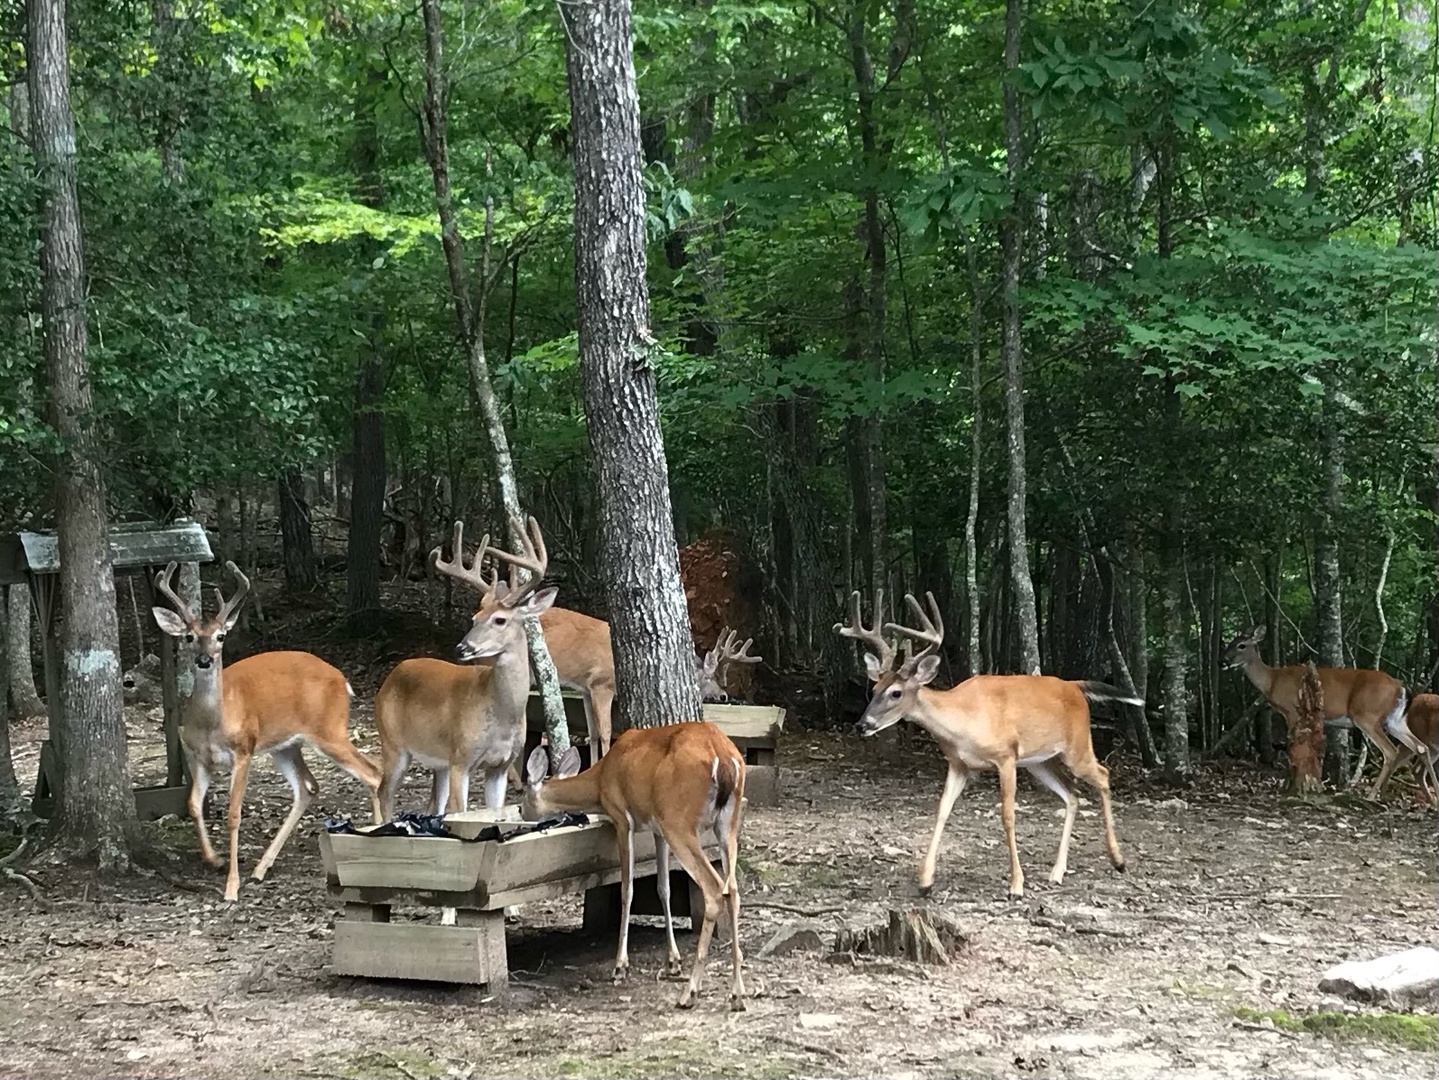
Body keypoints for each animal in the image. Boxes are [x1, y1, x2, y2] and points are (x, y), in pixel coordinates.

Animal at [151, 560, 382, 897]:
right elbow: (193, 804)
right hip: (286, 745)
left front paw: (231, 886)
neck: (211, 724)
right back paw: (261, 869)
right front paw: (215, 859)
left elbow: (234, 814)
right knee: (308, 787)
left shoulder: (244, 749)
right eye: (190, 637)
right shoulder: (199, 757)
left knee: (373, 773)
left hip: (330, 730)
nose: (205, 660)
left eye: (221, 636)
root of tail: (343, 680)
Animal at [374, 520, 558, 822]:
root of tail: (392, 675)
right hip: (393, 743)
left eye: (499, 620)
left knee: (432, 806)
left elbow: (493, 811)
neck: (501, 717)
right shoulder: (461, 758)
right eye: (474, 619)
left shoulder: (500, 766)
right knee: (384, 793)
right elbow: (460, 812)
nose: (462, 648)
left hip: (438, 761)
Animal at [520, 719, 748, 1012]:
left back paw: (690, 993)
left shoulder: (622, 818)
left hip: (679, 821)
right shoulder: (657, 829)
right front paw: (673, 961)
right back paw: (737, 994)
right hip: (726, 823)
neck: (601, 780)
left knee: (714, 888)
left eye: (523, 798)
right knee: (733, 890)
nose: (520, 812)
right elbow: (664, 888)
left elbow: (626, 890)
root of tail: (723, 756)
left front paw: (620, 966)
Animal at [840, 586, 1128, 897]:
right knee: (1072, 795)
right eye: (874, 689)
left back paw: (1118, 860)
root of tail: (1076, 686)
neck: (962, 723)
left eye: (896, 692)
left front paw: (1016, 884)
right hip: (1040, 761)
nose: (863, 724)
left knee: (1103, 775)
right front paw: (925, 880)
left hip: (1077, 746)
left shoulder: (1006, 756)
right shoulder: (958, 763)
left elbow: (1008, 815)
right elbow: (942, 810)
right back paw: (1057, 872)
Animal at [1220, 624, 1433, 805]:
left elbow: (1291, 747)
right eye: (1229, 643)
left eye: (1241, 645)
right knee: (1421, 747)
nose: (1223, 660)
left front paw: (1288, 783)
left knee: (1391, 751)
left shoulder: (1292, 710)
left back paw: (1372, 796)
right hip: (1394, 721)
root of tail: (1401, 688)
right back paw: (1429, 800)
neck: (1272, 680)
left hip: (1366, 716)